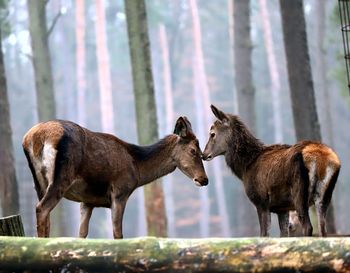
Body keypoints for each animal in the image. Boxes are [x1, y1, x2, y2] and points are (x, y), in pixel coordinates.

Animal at [22, 116, 208, 237]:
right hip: (62, 176)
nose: (204, 179)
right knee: (42, 208)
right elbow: (118, 234)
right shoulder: (120, 192)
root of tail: (34, 138)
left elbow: (82, 234)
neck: (137, 167)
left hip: (39, 182)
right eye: (193, 150)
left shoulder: (87, 201)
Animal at [201, 104, 340, 236]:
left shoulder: (261, 201)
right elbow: (283, 235)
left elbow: (264, 234)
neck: (245, 167)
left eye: (212, 133)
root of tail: (321, 158)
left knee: (308, 227)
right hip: (325, 196)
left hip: (299, 193)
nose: (203, 154)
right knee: (323, 229)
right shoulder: (282, 208)